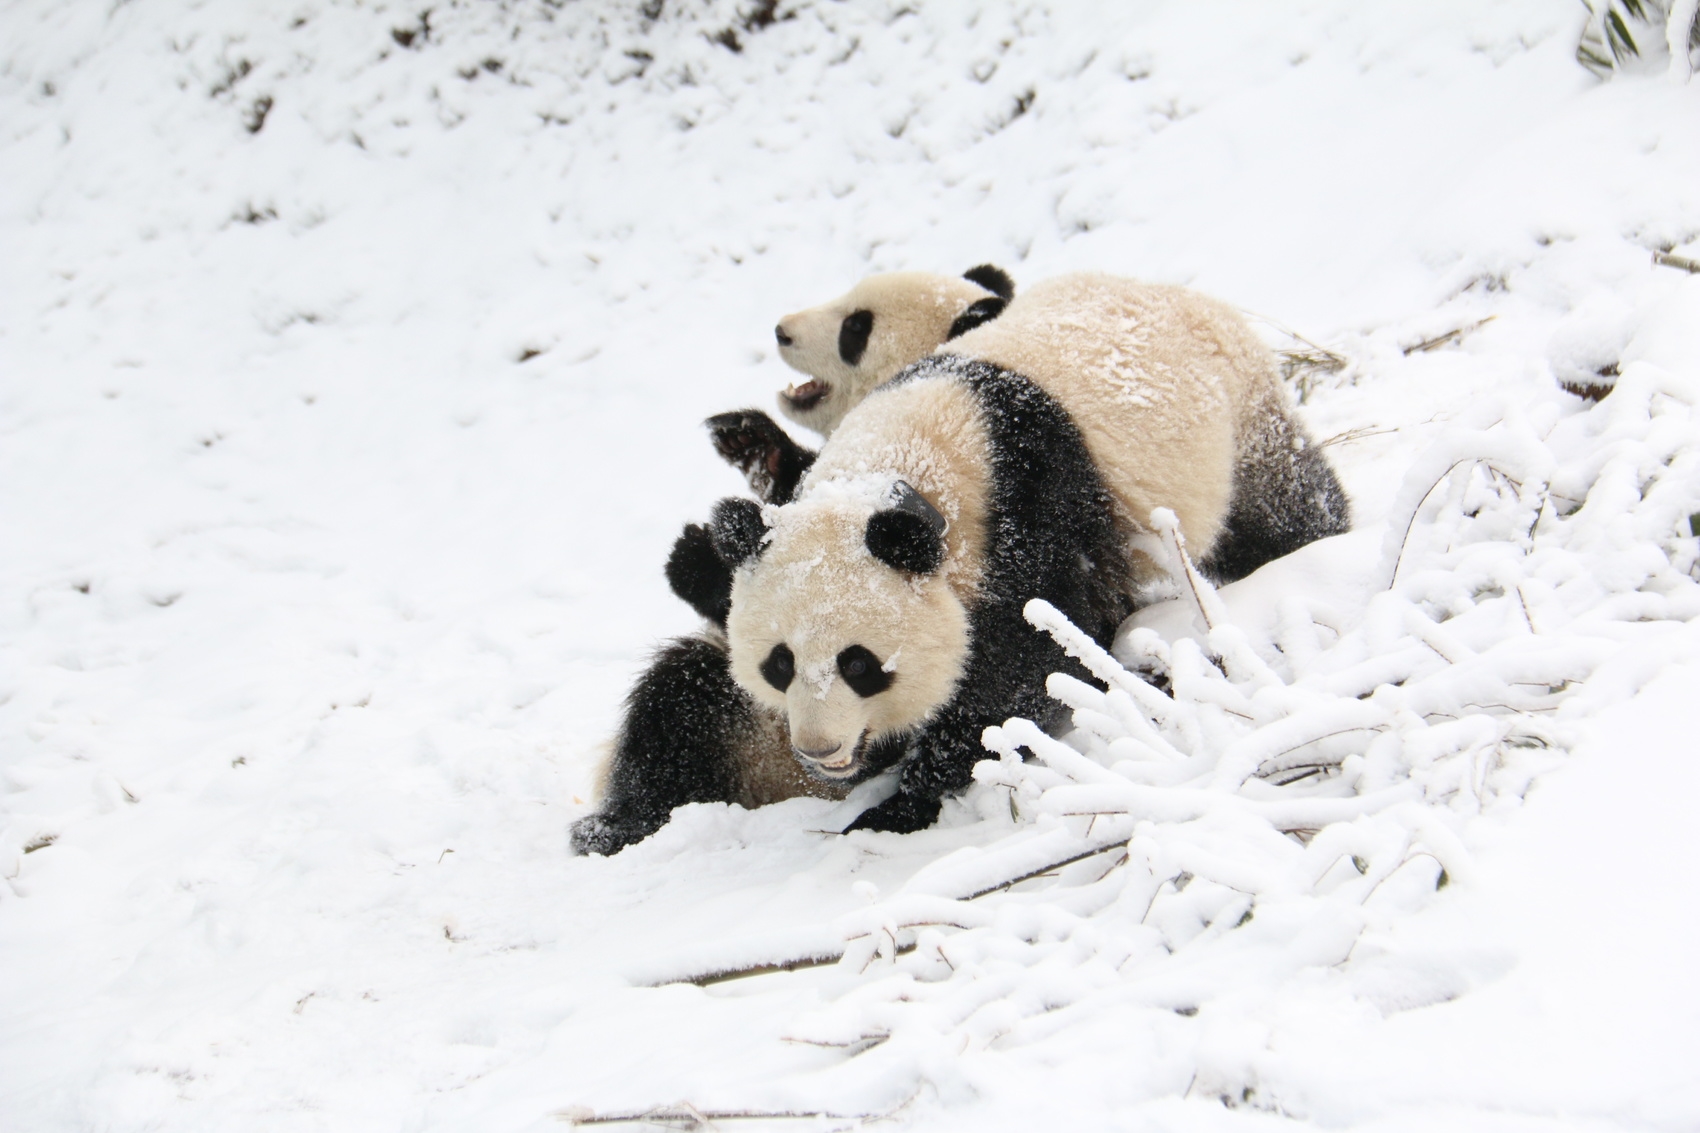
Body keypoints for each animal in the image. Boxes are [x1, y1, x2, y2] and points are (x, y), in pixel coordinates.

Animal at [571, 267, 1353, 847]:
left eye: (860, 663)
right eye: (779, 663)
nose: (821, 751)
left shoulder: (1031, 522)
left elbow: (1026, 673)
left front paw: (898, 808)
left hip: (1242, 426)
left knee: (1283, 508)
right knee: (678, 707)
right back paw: (613, 826)